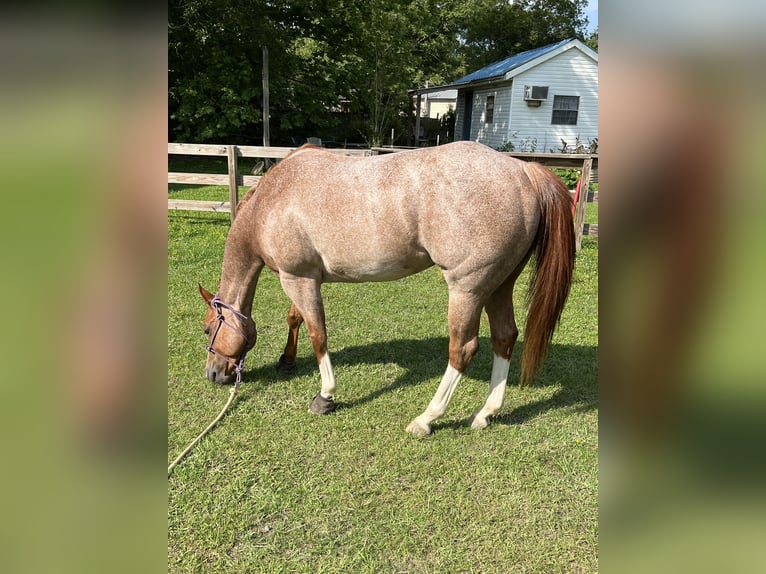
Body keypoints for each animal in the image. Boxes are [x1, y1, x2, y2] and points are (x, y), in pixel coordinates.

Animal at [200, 141, 576, 436]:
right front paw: (287, 360)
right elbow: (297, 320)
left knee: (463, 349)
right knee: (505, 337)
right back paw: (485, 414)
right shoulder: (303, 278)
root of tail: (523, 171)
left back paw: (426, 419)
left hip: (467, 290)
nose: (214, 374)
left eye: (207, 329)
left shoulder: (297, 279)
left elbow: (318, 334)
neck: (273, 199)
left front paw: (325, 395)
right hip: (498, 286)